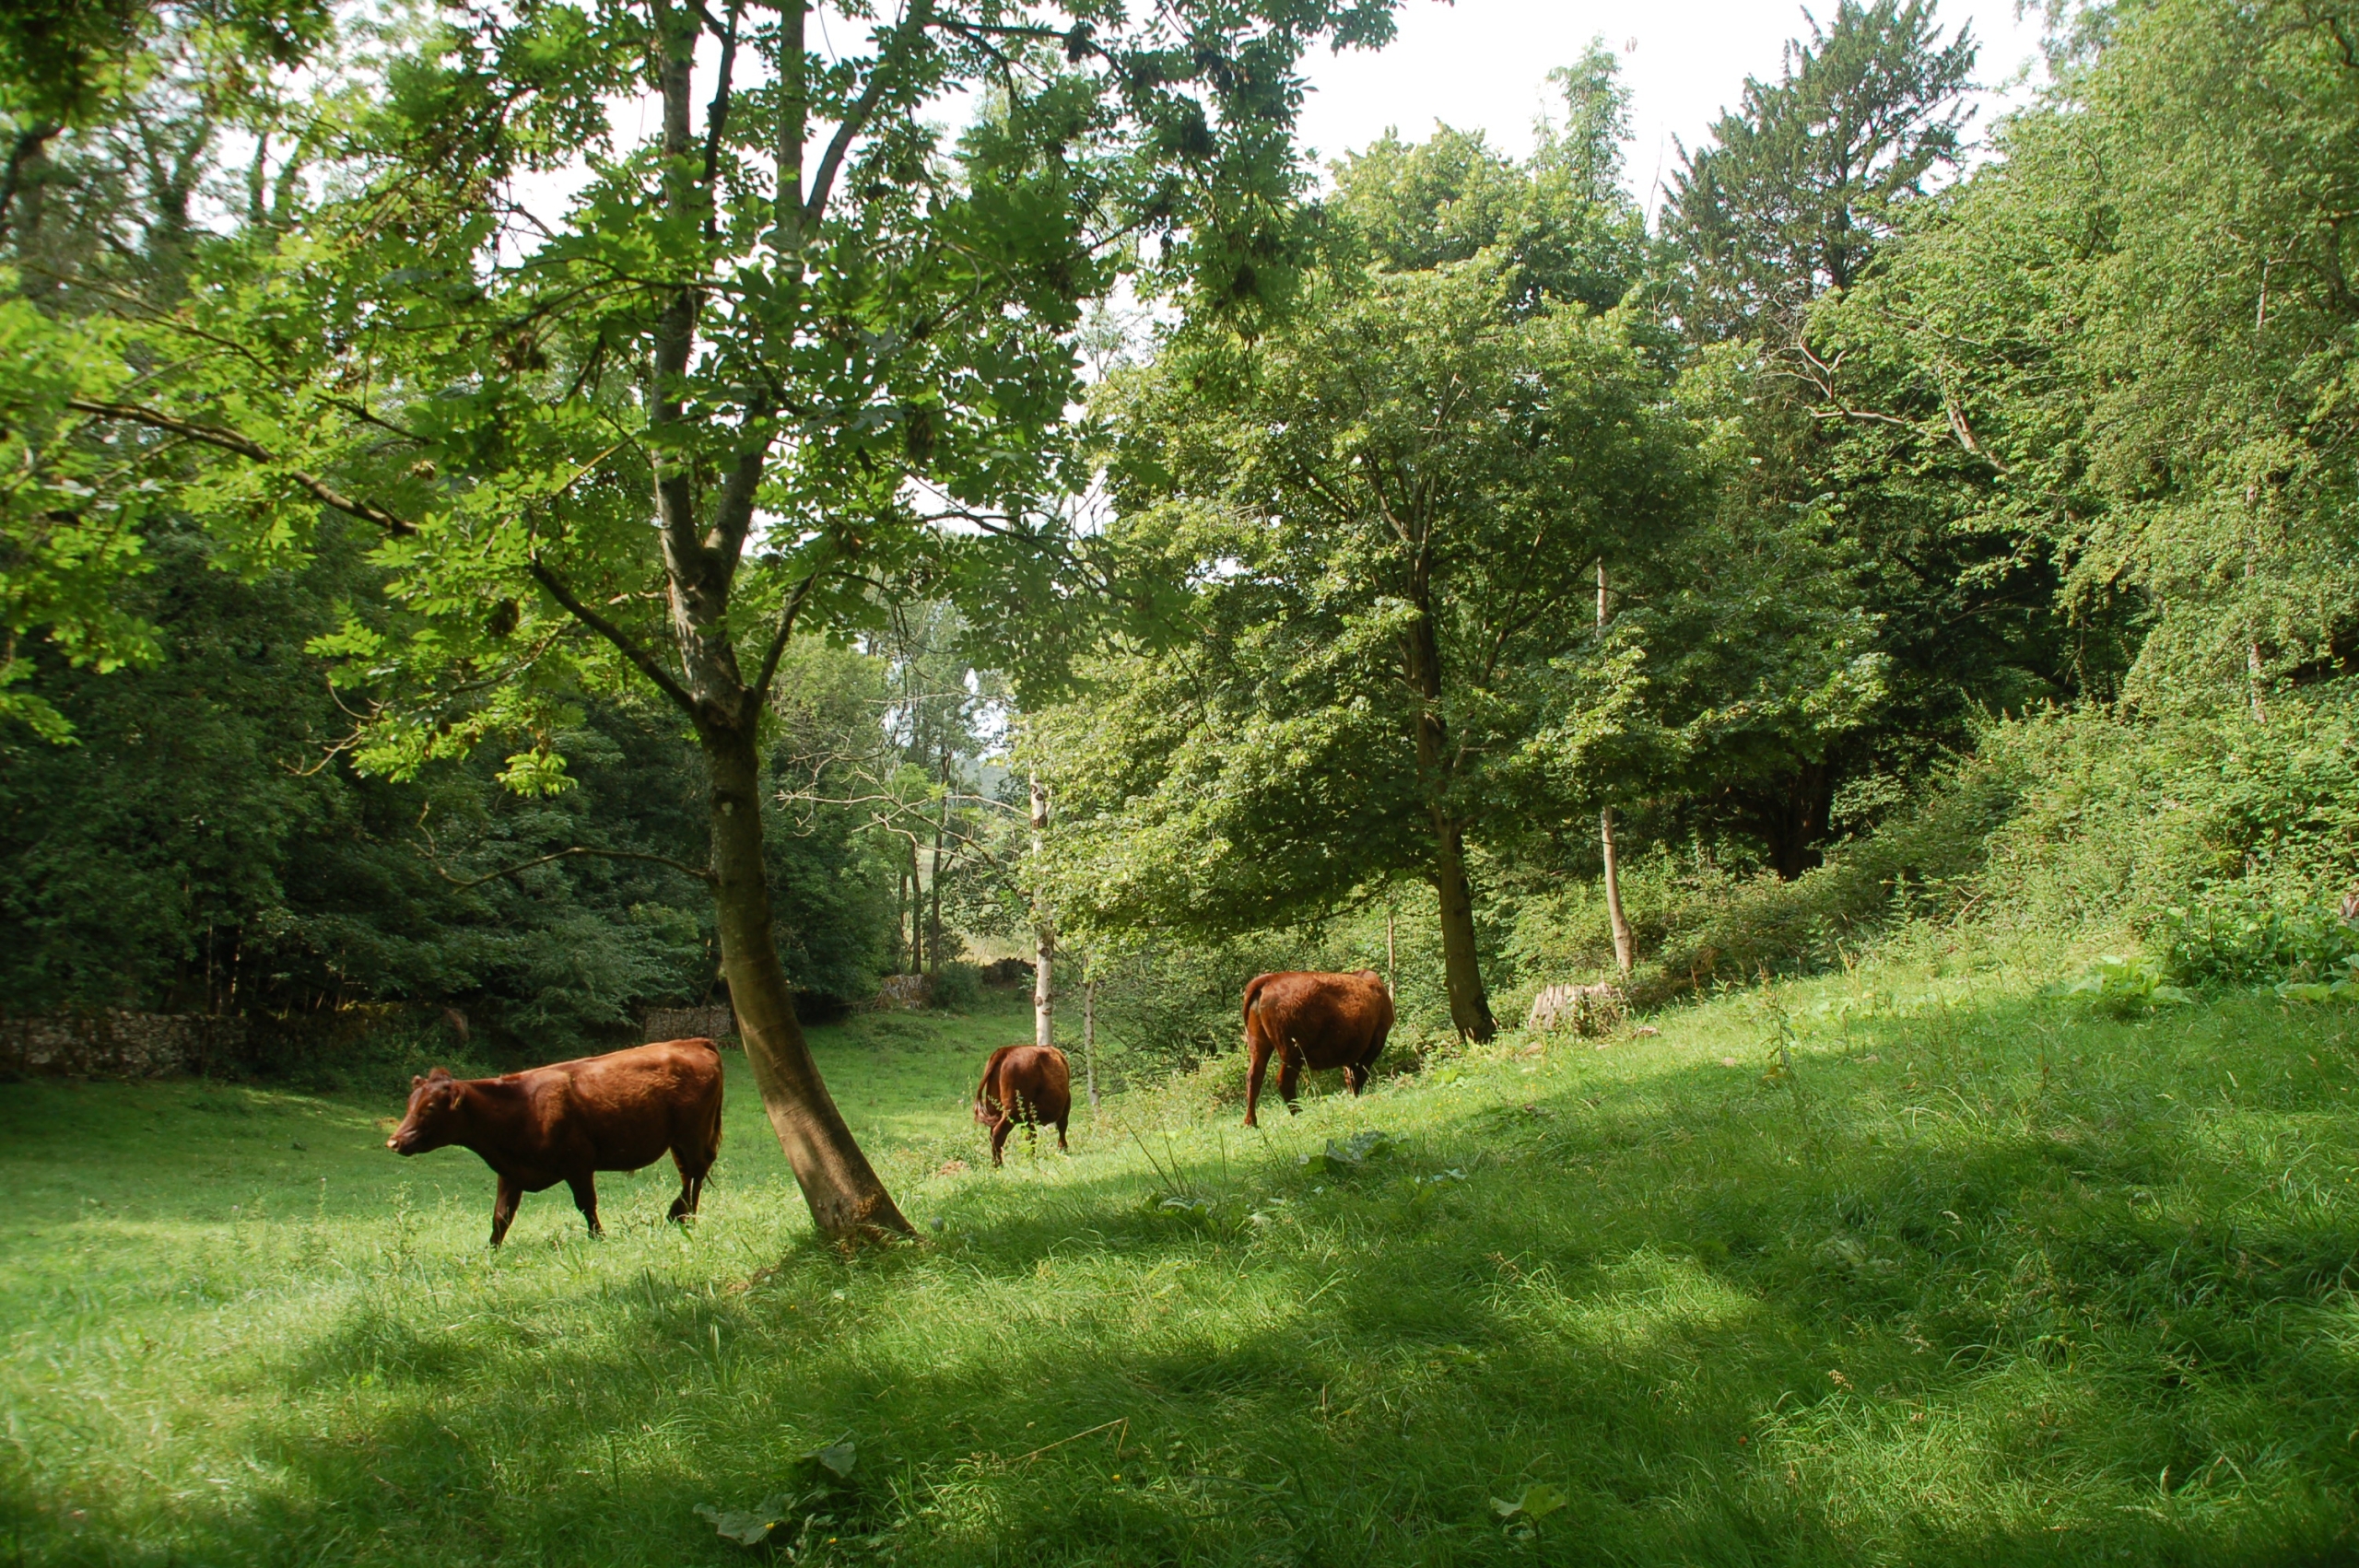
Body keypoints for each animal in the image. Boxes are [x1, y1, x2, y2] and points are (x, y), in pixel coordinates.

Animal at [386, 1037, 722, 1245]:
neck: (521, 1107)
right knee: (689, 1174)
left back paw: (681, 1215)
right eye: (410, 1103)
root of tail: (692, 1042)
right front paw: (490, 1253)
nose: (394, 1142)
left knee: (695, 1172)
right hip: (677, 1140)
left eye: (430, 1108)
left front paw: (598, 1238)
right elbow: (501, 1216)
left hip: (692, 1134)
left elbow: (586, 1205)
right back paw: (682, 1215)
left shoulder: (578, 1164)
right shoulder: (510, 1173)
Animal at [971, 1037, 1075, 1160]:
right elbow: (1062, 1126)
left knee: (993, 1134)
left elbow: (1030, 1136)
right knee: (998, 1134)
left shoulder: (1028, 1119)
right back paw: (999, 1163)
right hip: (1012, 1111)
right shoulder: (1066, 1103)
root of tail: (1006, 1051)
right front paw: (1063, 1149)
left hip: (995, 1108)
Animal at [1245, 966, 1387, 1127]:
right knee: (1285, 1081)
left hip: (1258, 1043)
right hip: (1293, 1052)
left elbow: (1350, 1077)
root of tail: (1270, 979)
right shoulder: (1374, 1044)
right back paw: (1299, 1113)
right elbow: (1359, 1077)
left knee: (1254, 1077)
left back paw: (1251, 1122)